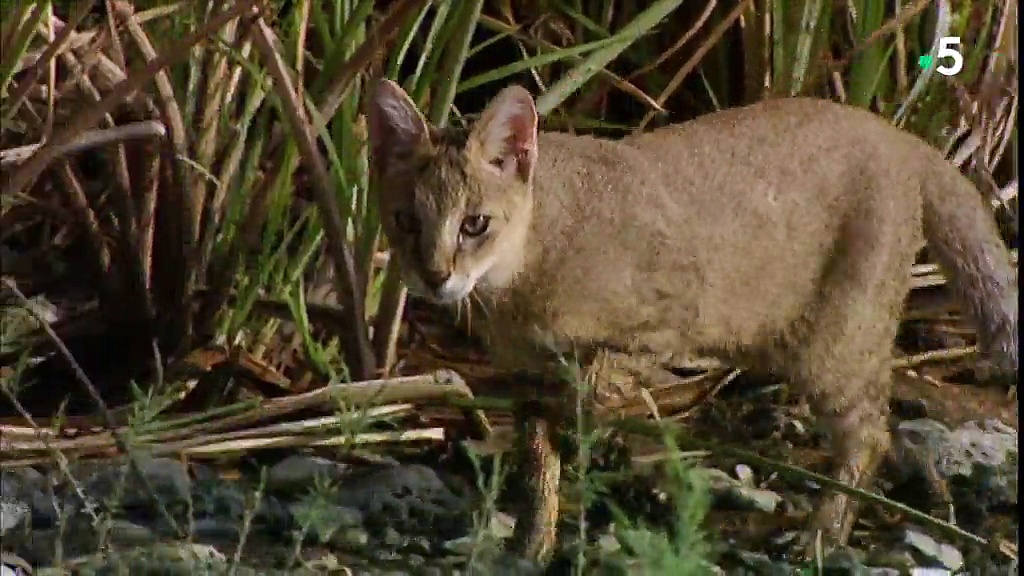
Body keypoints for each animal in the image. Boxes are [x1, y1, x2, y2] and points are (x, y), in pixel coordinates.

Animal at [362, 79, 1015, 561]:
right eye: (404, 220)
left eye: (475, 223)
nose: (434, 276)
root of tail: (897, 133)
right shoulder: (523, 374)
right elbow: (538, 468)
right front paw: (532, 544)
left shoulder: (668, 316)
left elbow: (596, 380)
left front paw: (585, 423)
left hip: (835, 344)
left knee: (872, 431)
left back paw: (820, 535)